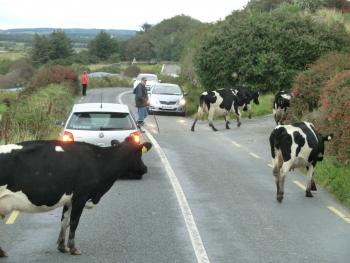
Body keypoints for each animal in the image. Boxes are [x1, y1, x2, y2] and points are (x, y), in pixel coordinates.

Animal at [0, 138, 152, 258]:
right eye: (139, 153)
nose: (145, 168)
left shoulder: (69, 199)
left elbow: (64, 220)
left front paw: (62, 247)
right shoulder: (81, 196)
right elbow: (74, 222)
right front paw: (73, 248)